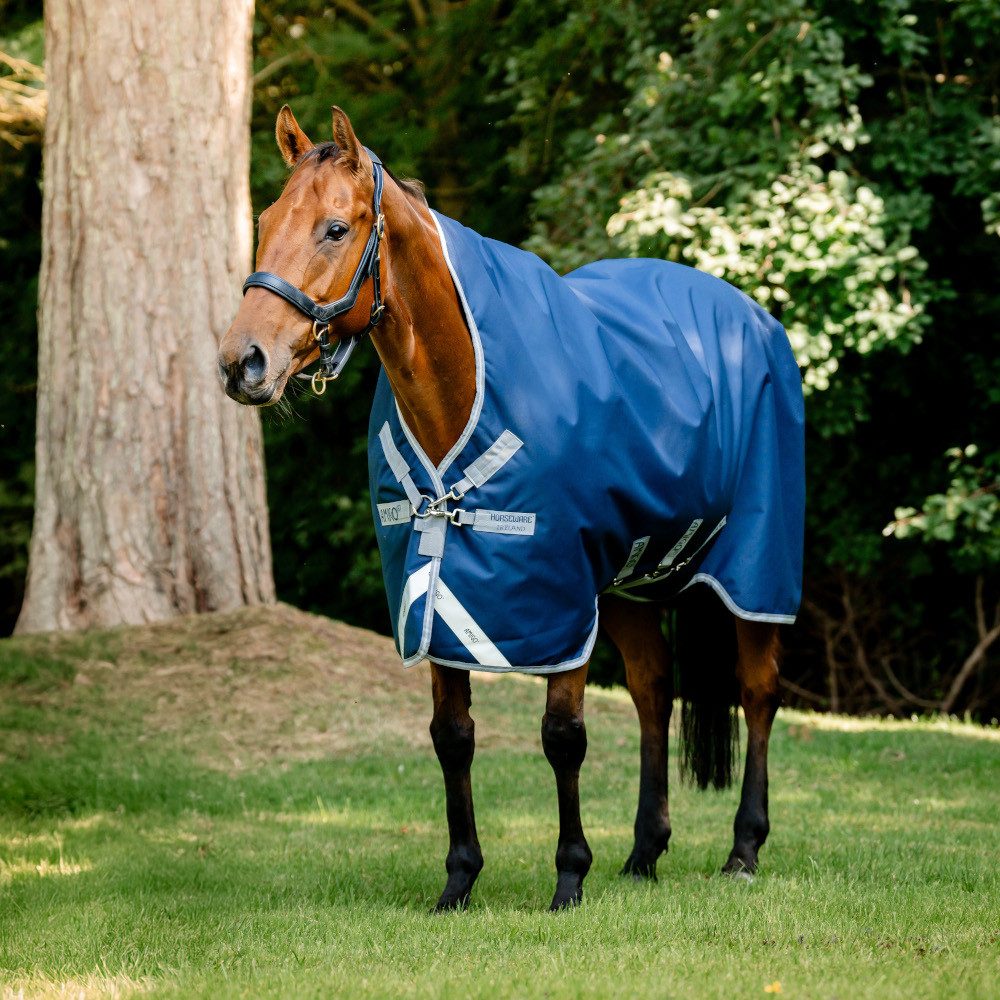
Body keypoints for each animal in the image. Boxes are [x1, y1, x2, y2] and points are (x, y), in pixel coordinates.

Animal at [218, 106, 803, 912]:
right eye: (266, 219)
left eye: (336, 228)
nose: (242, 362)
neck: (466, 384)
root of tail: (754, 320)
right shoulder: (433, 594)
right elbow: (452, 735)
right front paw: (459, 880)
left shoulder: (559, 598)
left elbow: (563, 736)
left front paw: (569, 877)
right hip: (626, 585)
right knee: (654, 691)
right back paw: (643, 853)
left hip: (754, 568)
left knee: (758, 692)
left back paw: (744, 847)